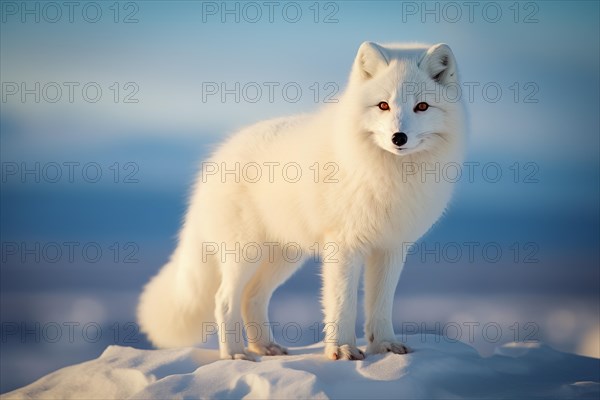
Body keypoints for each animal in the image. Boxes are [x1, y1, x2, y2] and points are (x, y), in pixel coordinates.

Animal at [138, 42, 466, 360]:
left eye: (421, 106)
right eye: (383, 105)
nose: (399, 137)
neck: (390, 174)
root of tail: (217, 158)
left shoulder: (391, 247)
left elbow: (381, 305)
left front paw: (385, 346)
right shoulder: (344, 245)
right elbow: (342, 303)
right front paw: (342, 349)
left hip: (284, 256)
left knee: (251, 297)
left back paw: (264, 348)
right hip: (245, 253)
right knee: (224, 300)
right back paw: (234, 354)